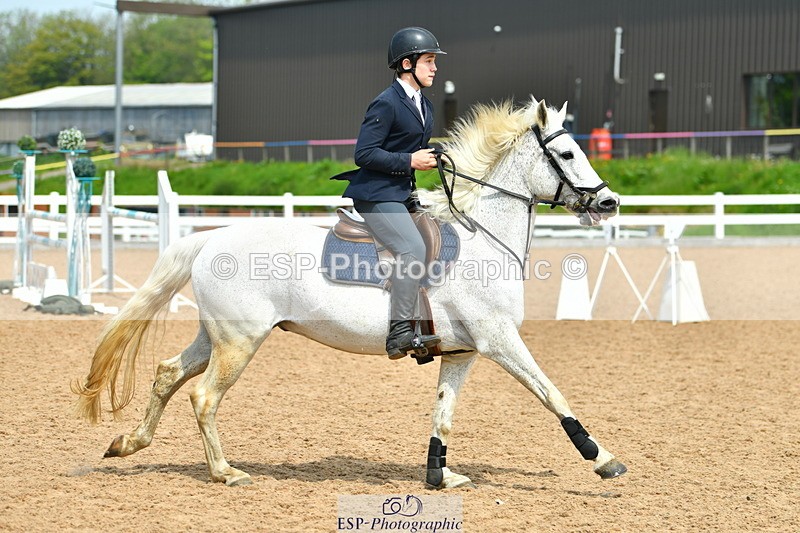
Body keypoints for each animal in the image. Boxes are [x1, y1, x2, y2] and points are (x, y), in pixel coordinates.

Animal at [73, 97, 627, 488]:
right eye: (566, 152)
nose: (609, 203)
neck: (482, 240)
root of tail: (213, 237)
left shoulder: (463, 352)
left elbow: (443, 414)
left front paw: (440, 475)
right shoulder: (500, 340)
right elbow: (552, 393)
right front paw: (603, 460)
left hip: (219, 337)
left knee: (168, 375)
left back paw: (128, 443)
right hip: (239, 342)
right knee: (204, 396)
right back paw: (225, 471)